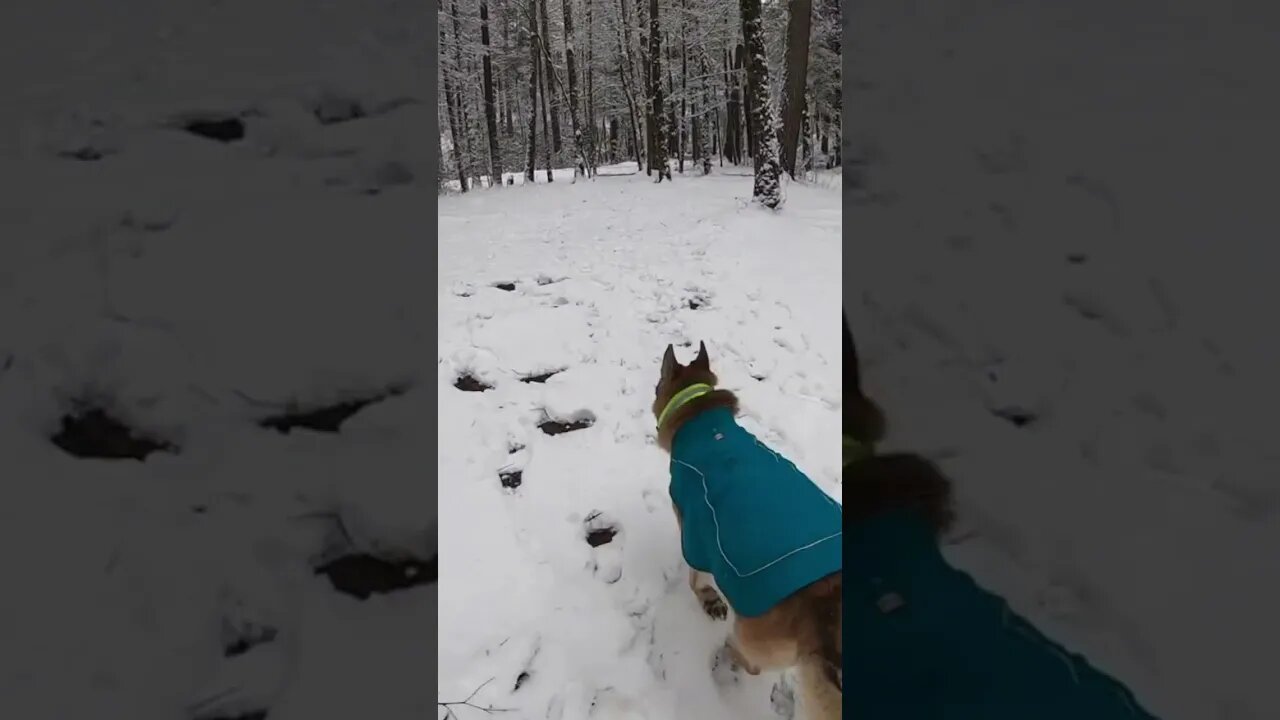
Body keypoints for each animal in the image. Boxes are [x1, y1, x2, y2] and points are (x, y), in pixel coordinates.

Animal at [655, 340, 844, 717]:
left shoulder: (693, 526)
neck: (699, 414)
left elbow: (697, 574)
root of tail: (824, 608)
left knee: (751, 661)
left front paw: (706, 597)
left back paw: (726, 654)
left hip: (753, 632)